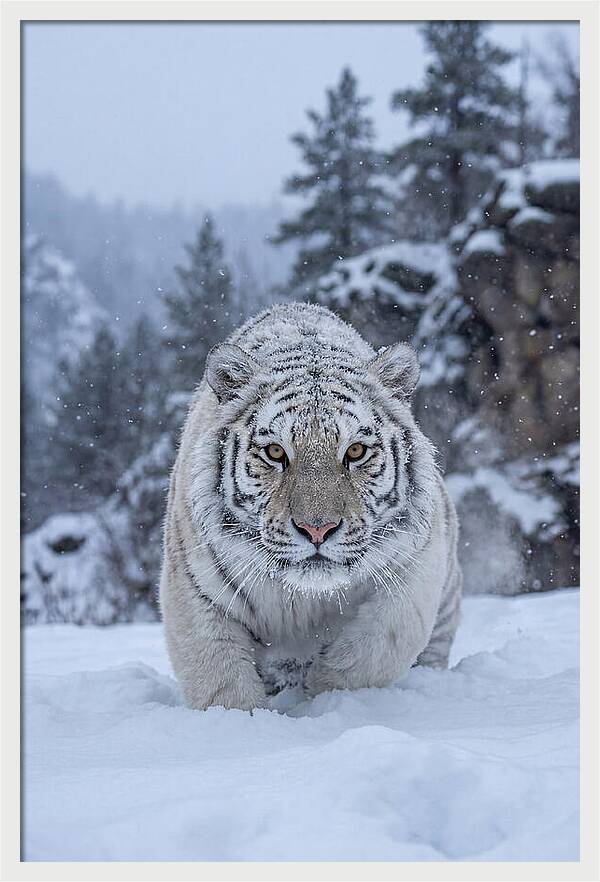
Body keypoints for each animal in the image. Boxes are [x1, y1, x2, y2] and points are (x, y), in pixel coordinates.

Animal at [160, 302, 462, 711]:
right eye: (275, 452)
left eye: (355, 451)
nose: (317, 529)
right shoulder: (195, 591)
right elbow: (221, 681)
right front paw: (244, 719)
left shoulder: (414, 569)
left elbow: (374, 650)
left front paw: (326, 694)